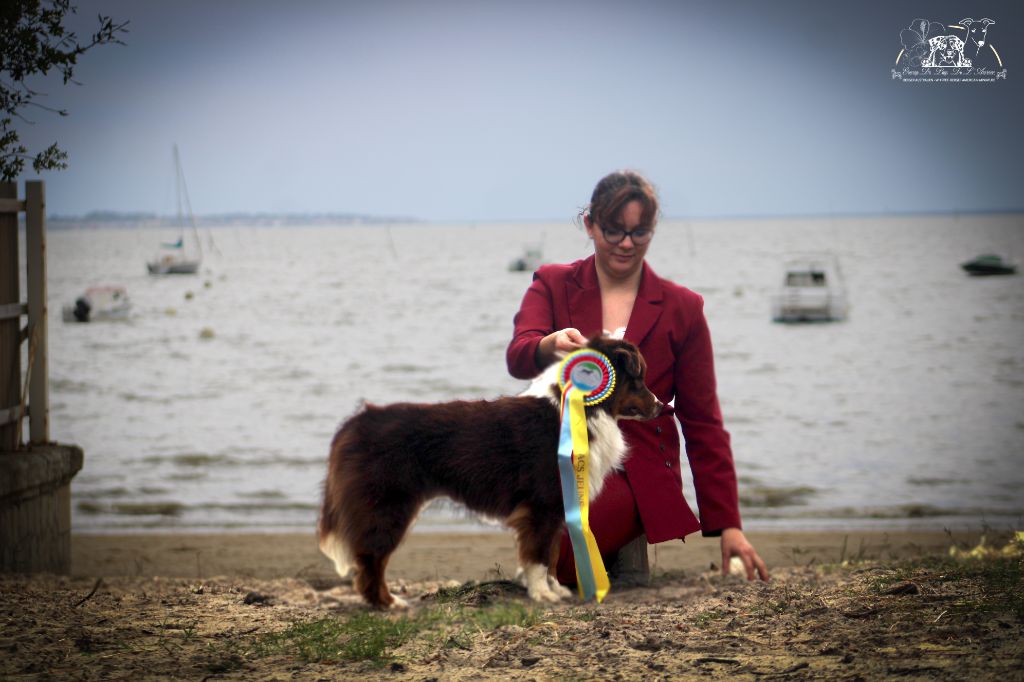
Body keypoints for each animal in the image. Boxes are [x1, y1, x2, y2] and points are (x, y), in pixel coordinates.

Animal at [315, 333, 659, 606]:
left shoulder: (557, 504)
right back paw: (388, 603)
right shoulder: (542, 505)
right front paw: (542, 594)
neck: (581, 409)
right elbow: (538, 555)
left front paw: (554, 589)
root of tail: (356, 422)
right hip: (387, 506)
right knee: (371, 558)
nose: (660, 406)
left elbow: (549, 555)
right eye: (638, 380)